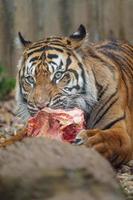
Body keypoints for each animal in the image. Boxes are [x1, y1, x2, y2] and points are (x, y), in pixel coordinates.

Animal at [15, 24, 132, 167]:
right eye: (30, 79)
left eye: (58, 75)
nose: (41, 106)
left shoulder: (122, 133)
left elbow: (109, 138)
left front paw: (89, 141)